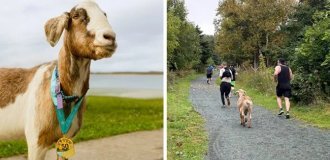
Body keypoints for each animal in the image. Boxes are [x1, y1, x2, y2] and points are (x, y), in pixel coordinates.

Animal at [0, 0, 117, 159]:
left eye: (105, 14)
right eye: (75, 15)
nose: (110, 37)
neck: (61, 92)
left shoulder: (63, 141)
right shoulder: (36, 142)